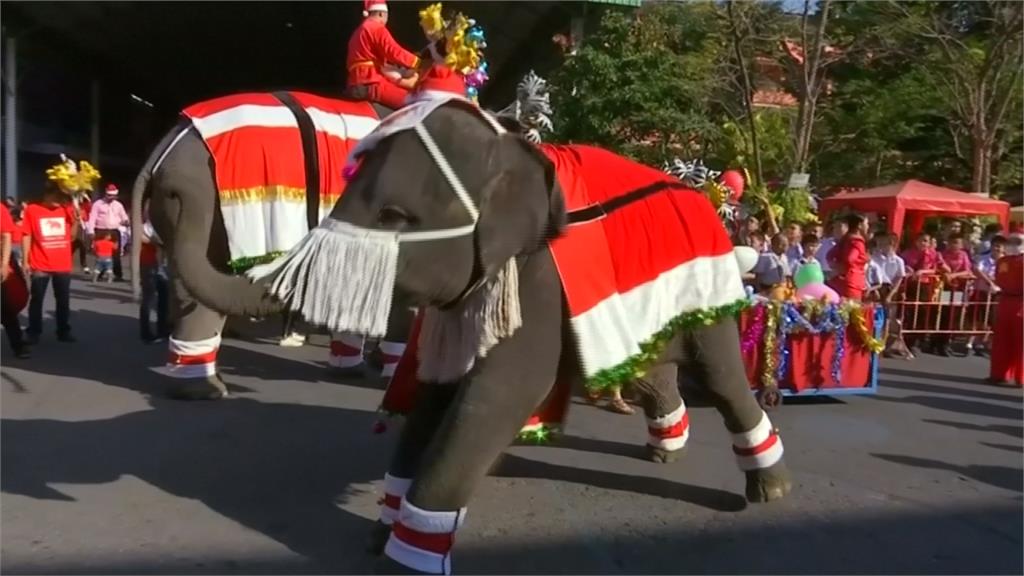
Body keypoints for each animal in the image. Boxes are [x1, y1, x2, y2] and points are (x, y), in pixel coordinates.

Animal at [239, 96, 790, 569]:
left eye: (393, 216)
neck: (508, 148)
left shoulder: (538, 282)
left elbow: (500, 393)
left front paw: (403, 561)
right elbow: (435, 395)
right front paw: (380, 537)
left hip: (709, 297)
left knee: (720, 377)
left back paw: (769, 490)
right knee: (649, 373)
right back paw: (662, 450)